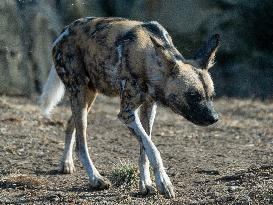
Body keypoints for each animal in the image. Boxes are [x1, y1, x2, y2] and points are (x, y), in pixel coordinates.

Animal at [39, 16, 219, 198]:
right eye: (193, 95)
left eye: (211, 96)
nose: (214, 118)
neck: (147, 62)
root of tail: (63, 32)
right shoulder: (126, 114)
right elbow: (153, 149)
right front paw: (164, 182)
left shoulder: (149, 107)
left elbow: (144, 150)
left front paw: (145, 184)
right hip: (80, 94)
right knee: (81, 143)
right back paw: (95, 178)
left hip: (88, 96)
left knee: (70, 124)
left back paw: (66, 163)